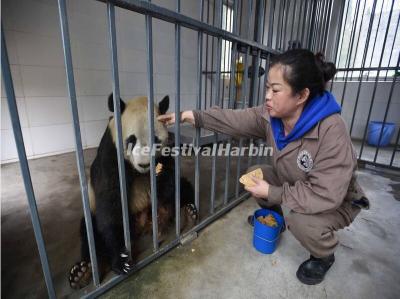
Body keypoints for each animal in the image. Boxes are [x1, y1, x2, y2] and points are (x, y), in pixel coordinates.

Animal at [71, 94, 199, 290]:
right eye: (131, 139)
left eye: (155, 139)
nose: (144, 164)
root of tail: (144, 225)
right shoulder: (110, 156)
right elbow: (109, 204)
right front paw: (121, 260)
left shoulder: (166, 154)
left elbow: (170, 181)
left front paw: (160, 177)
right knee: (89, 229)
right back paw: (82, 273)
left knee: (183, 187)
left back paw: (189, 215)